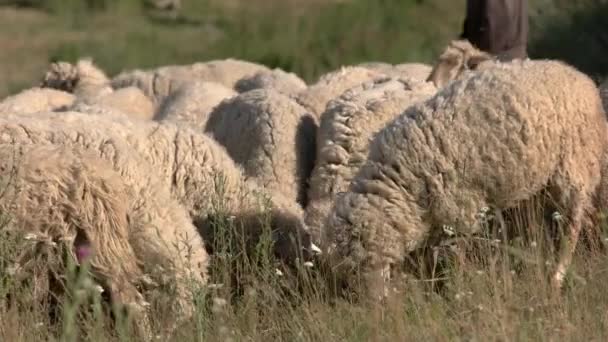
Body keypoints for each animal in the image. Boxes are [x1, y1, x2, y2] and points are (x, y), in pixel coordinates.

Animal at [326, 58, 608, 300]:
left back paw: (556, 277)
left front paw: (457, 287)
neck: (401, 184)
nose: (374, 306)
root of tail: (579, 76)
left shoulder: (461, 208)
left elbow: (456, 254)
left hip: (573, 167)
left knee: (572, 226)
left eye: (359, 264)